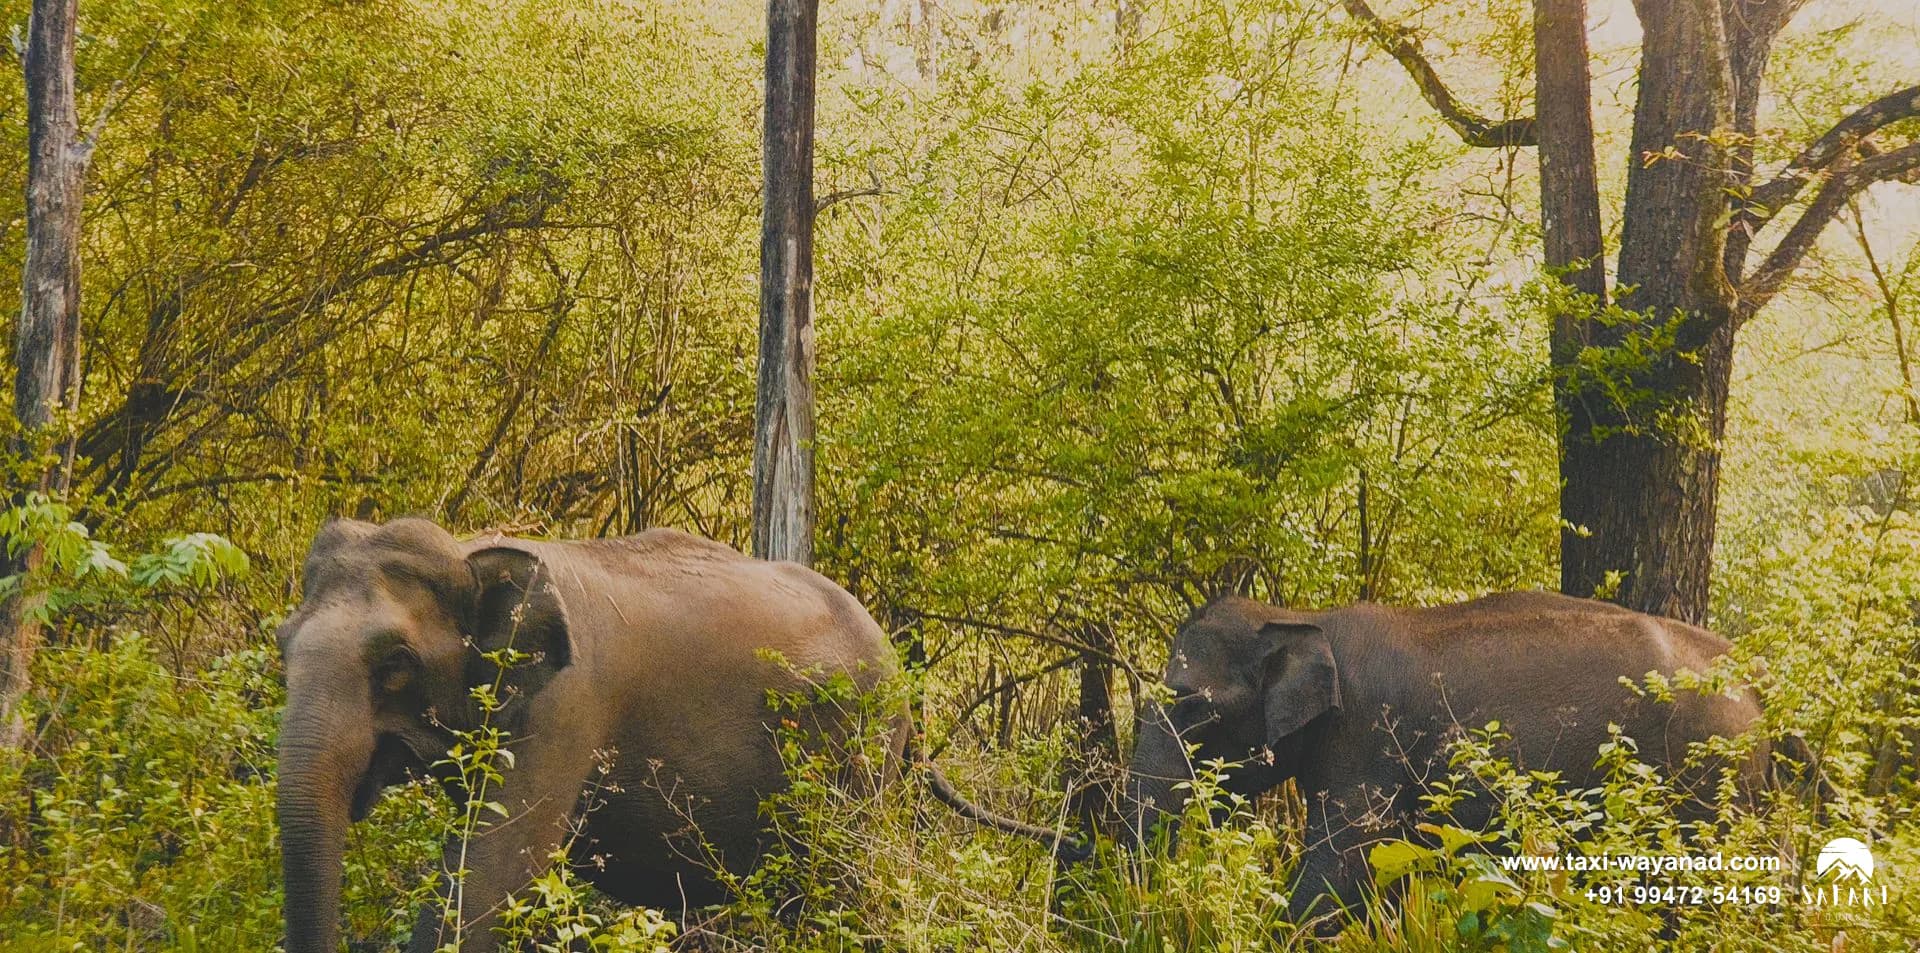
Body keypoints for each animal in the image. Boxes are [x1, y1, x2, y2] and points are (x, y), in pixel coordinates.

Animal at [276, 517, 1068, 953]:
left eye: (396, 664)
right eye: (281, 643)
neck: (471, 545)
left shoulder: (567, 708)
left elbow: (490, 878)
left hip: (856, 754)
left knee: (842, 887)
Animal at [1122, 591, 1774, 929]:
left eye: (1193, 706)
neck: (1300, 614)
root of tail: (1755, 679)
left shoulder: (1369, 740)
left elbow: (1341, 870)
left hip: (1705, 783)